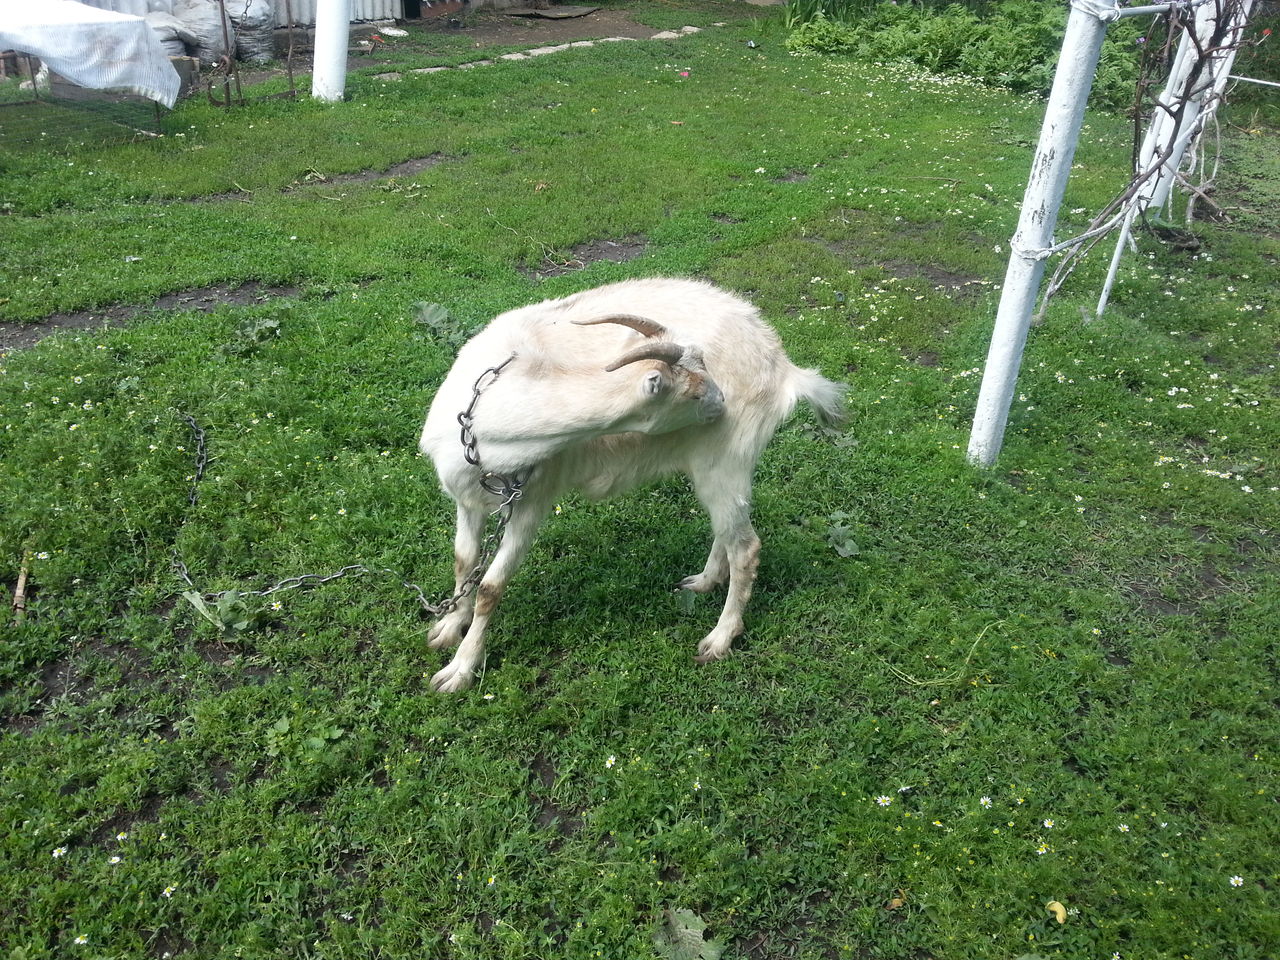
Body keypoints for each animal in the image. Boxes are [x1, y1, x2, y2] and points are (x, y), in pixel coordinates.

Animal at [418, 278, 846, 692]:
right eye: (692, 390)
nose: (721, 403)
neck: (484, 421)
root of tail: (782, 365)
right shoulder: (467, 500)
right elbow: (464, 562)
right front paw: (448, 628)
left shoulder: (531, 503)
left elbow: (491, 587)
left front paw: (459, 671)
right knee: (726, 530)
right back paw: (704, 582)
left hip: (725, 459)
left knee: (745, 546)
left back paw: (719, 639)